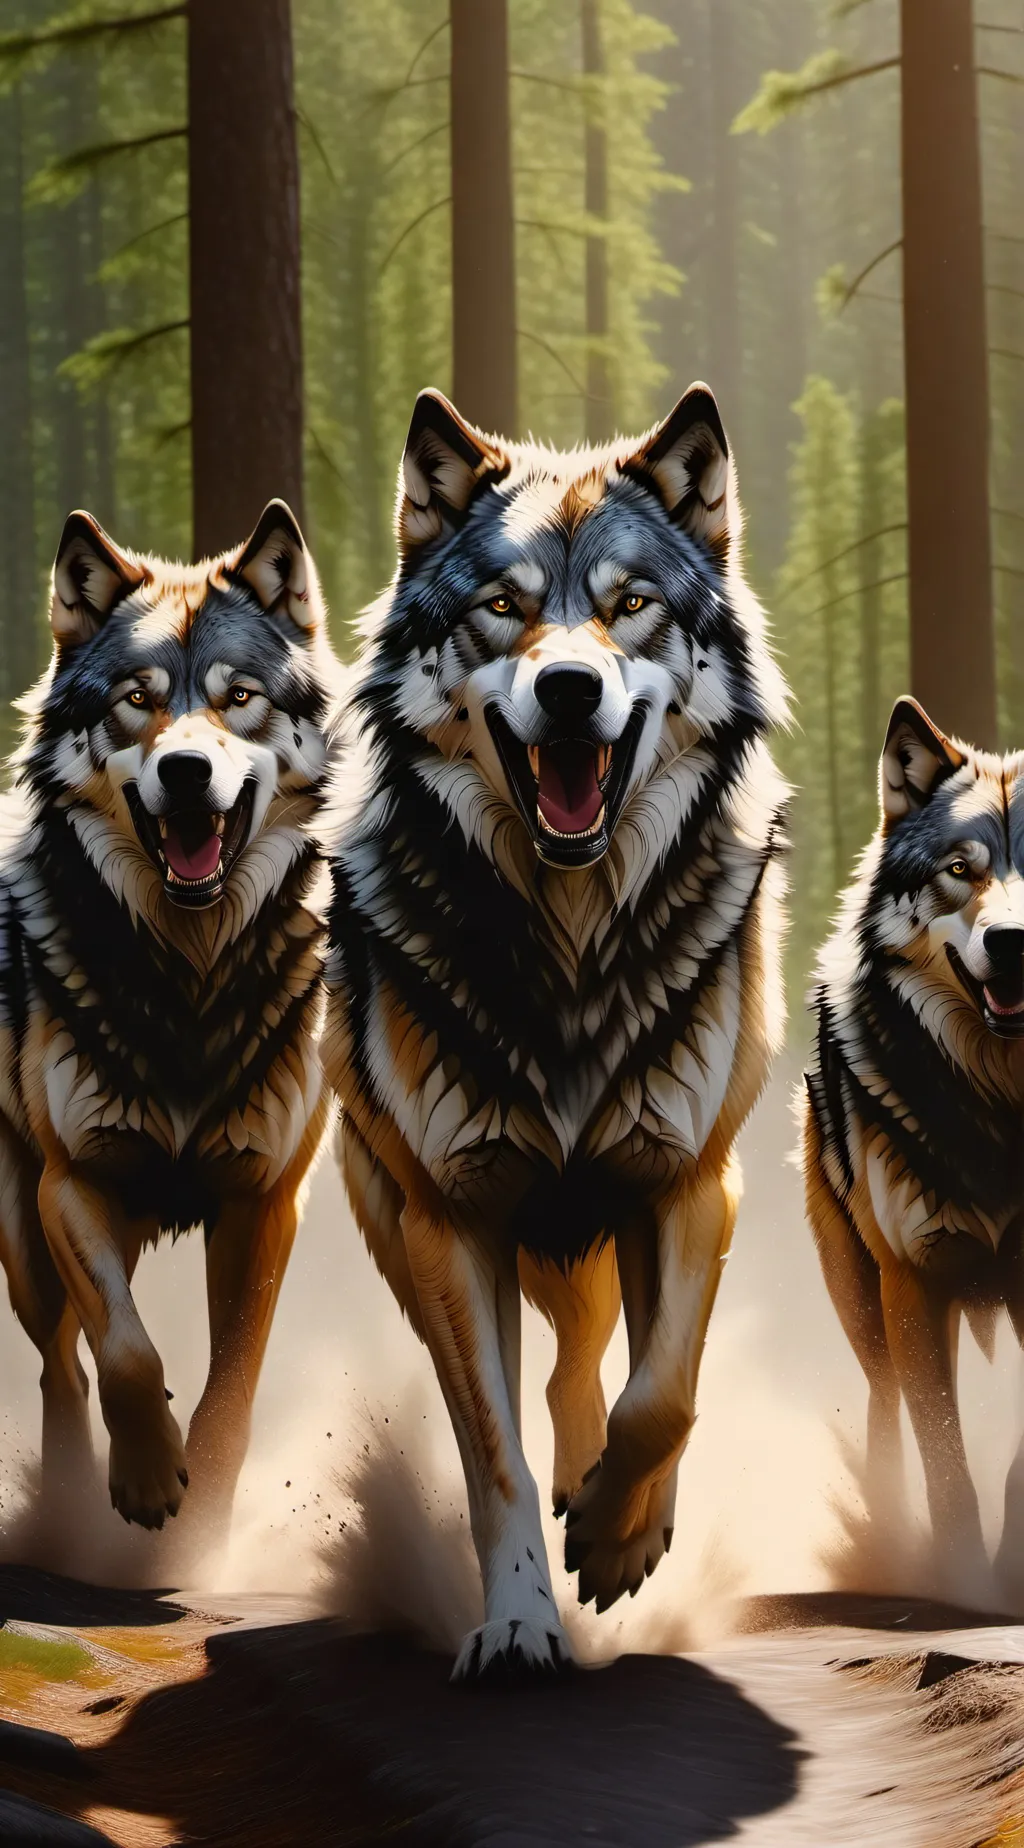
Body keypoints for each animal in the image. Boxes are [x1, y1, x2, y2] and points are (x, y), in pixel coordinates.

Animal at [0, 501, 342, 1534]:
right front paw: (148, 1478)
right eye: (136, 700)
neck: (189, 979)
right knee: (58, 1370)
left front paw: (200, 1527)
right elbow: (125, 1350)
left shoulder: (263, 1202)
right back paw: (69, 1505)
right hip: (22, 1234)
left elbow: (232, 1383)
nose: (187, 771)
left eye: (239, 699)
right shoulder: (73, 1184)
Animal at [324, 385, 789, 1676]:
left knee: (594, 1369)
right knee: (547, 1383)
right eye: (503, 606)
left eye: (631, 605)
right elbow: (495, 1460)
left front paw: (624, 1537)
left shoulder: (690, 1183)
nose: (572, 690)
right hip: (399, 1223)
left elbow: (663, 1393)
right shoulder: (452, 1224)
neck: (574, 954)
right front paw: (521, 1623)